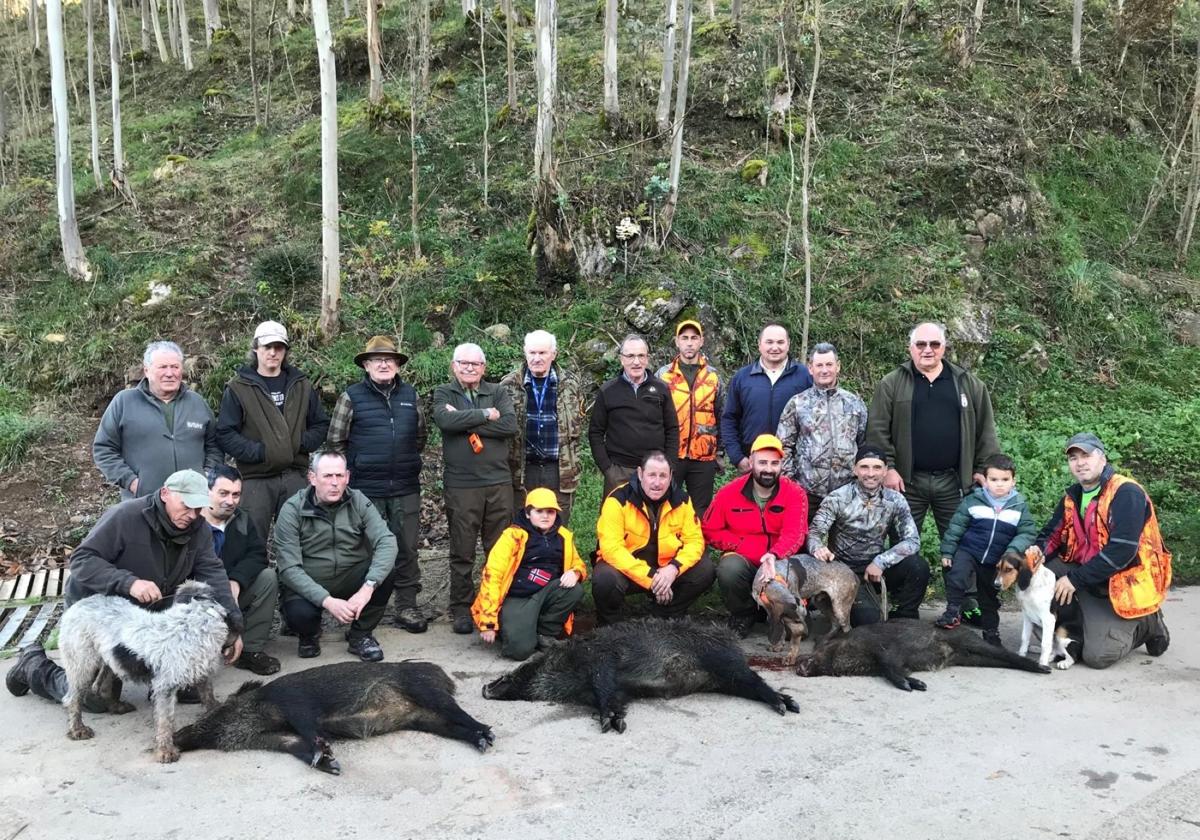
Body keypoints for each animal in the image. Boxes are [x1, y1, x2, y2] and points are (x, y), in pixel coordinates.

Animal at [60, 580, 236, 763]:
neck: (193, 622)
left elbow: (208, 696)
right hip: (82, 666)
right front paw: (165, 751)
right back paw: (77, 729)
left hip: (111, 660)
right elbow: (165, 721)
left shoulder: (201, 674)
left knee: (104, 688)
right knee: (72, 699)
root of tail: (77, 606)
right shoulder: (165, 688)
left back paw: (116, 706)